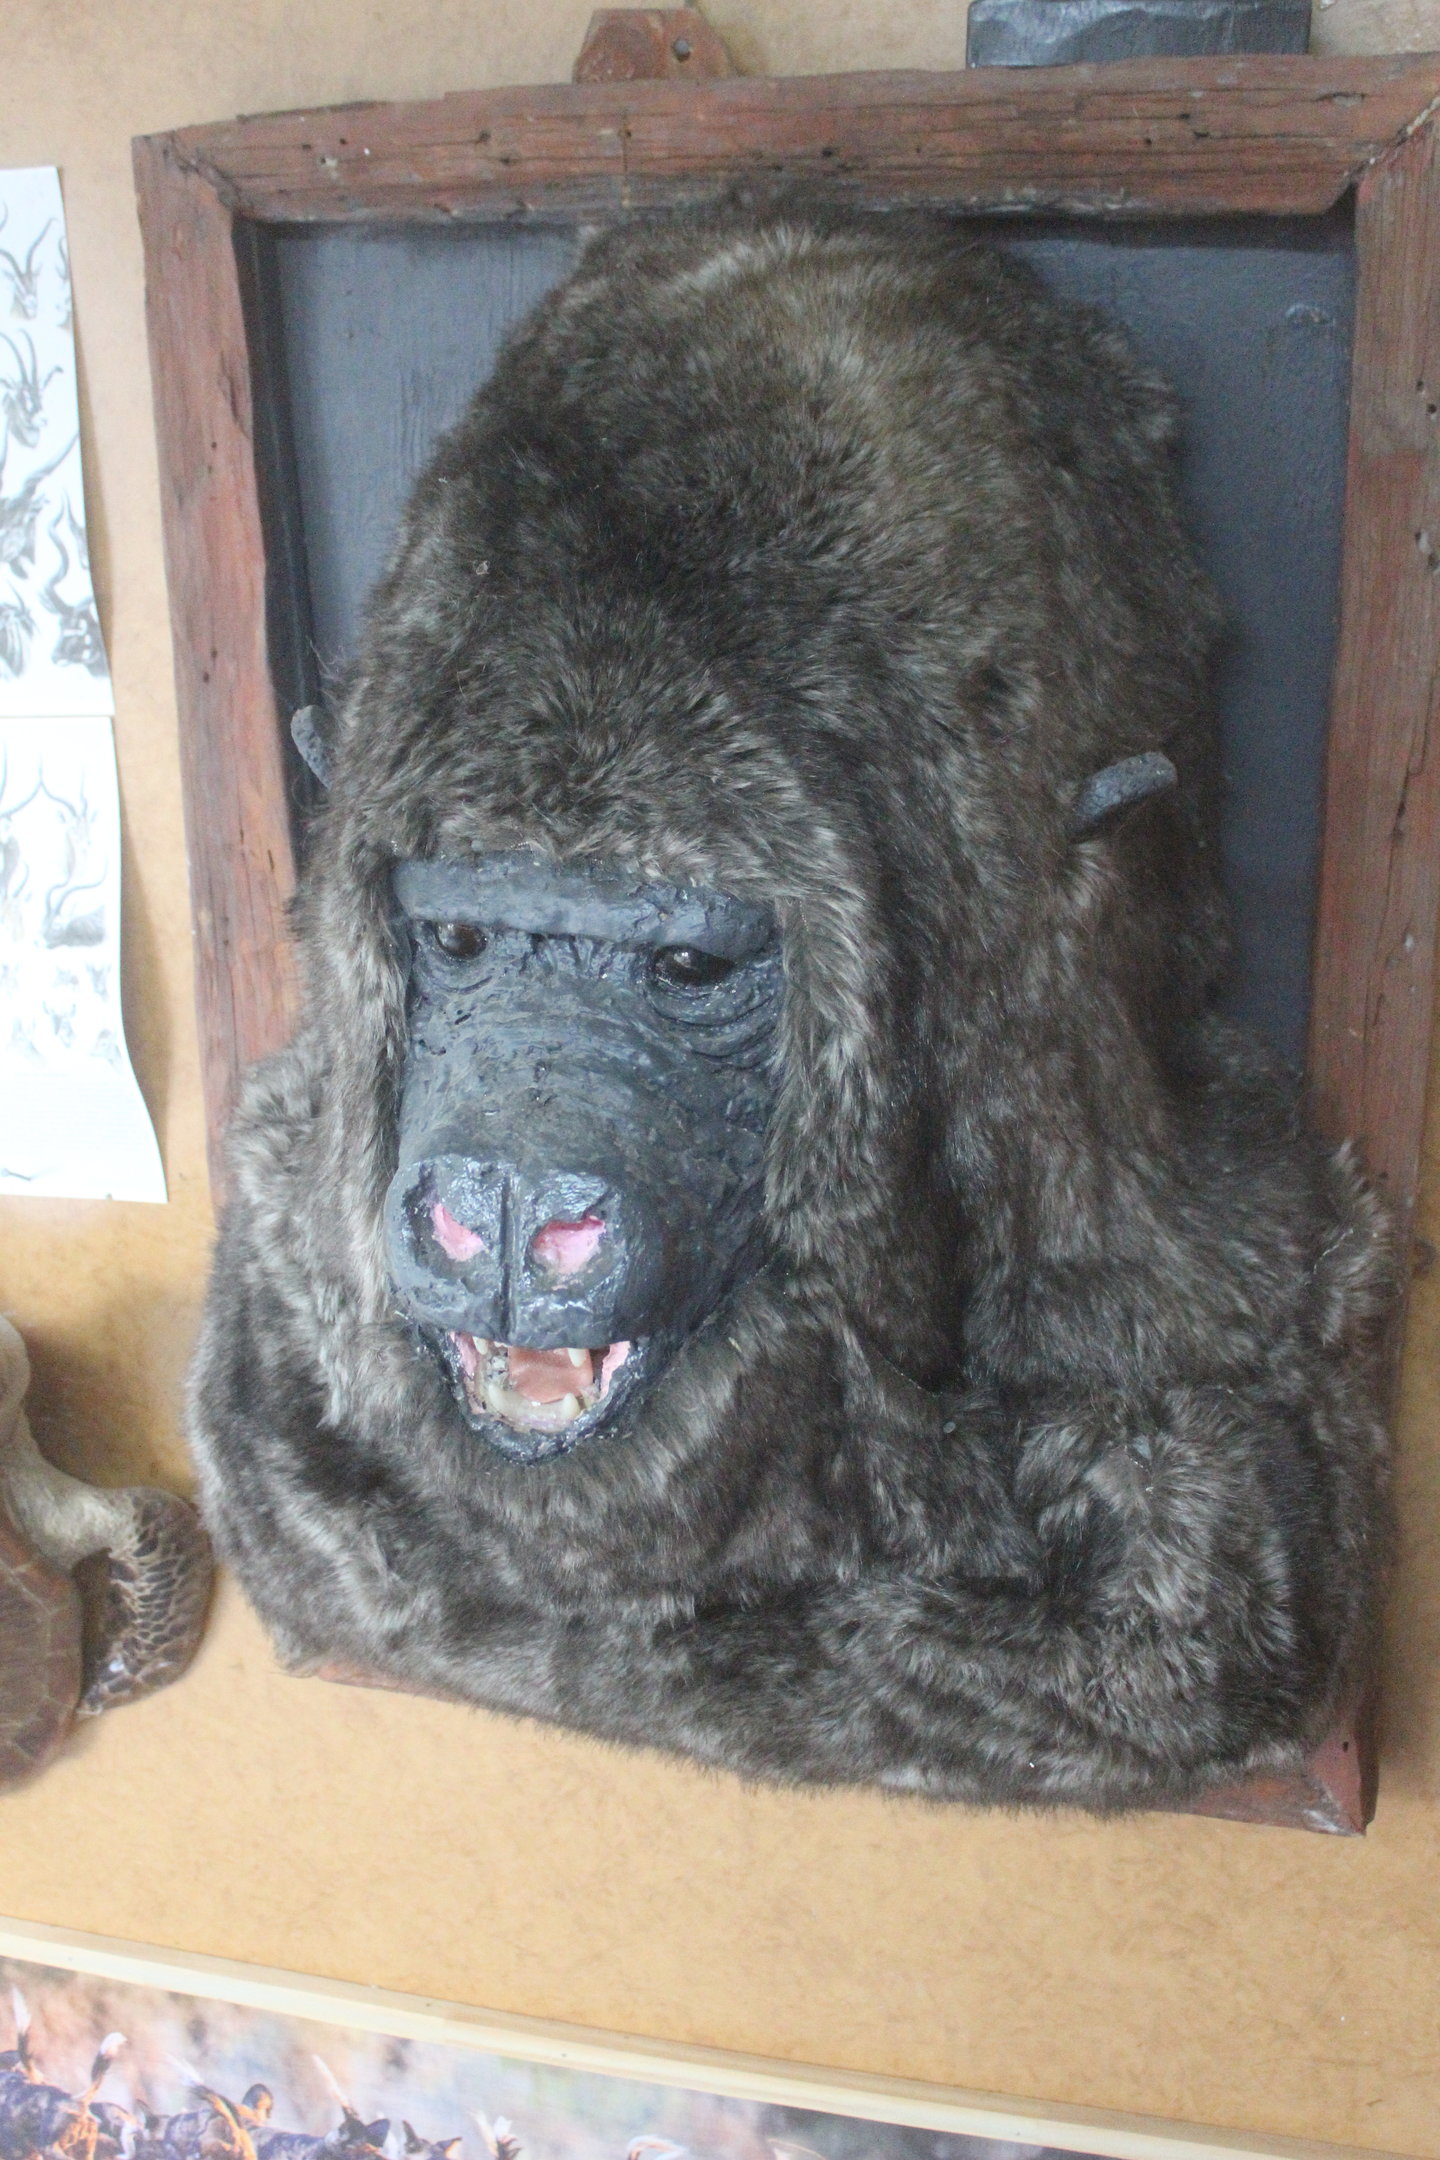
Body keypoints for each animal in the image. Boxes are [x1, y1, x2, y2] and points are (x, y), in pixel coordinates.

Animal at [188, 204, 1390, 1810]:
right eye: (456, 937)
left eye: (691, 970)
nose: (507, 1209)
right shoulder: (288, 1210)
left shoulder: (1135, 1226)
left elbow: (1186, 1595)